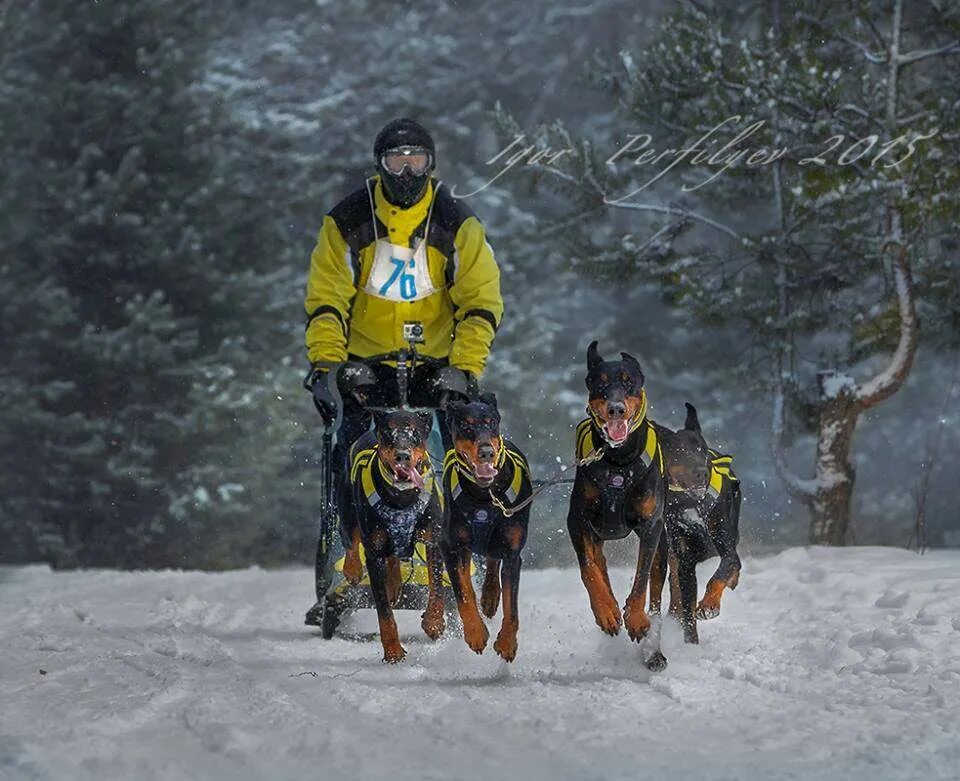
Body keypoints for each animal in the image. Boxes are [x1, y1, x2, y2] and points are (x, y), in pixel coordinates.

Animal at [338, 412, 446, 660]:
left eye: (415, 433)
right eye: (389, 433)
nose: (402, 455)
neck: (401, 498)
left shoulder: (433, 539)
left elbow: (436, 587)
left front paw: (434, 623)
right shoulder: (374, 552)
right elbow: (384, 611)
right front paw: (393, 651)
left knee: (394, 556)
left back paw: (395, 584)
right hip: (347, 509)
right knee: (351, 540)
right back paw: (353, 570)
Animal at [442, 396, 532, 660]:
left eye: (491, 422)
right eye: (466, 424)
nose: (486, 451)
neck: (485, 495)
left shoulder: (513, 553)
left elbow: (512, 607)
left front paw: (507, 643)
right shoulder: (450, 547)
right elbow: (462, 592)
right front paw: (475, 633)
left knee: (492, 560)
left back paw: (490, 597)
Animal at [564, 342, 668, 672]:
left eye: (628, 382)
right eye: (600, 384)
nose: (616, 408)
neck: (618, 461)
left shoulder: (650, 526)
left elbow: (641, 579)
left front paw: (635, 620)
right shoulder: (578, 520)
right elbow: (589, 570)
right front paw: (607, 611)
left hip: (663, 546)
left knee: (656, 592)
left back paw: (653, 650)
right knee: (599, 565)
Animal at [652, 400, 744, 644]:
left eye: (702, 451)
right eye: (681, 453)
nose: (702, 473)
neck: (692, 503)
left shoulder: (726, 544)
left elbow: (721, 573)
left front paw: (709, 606)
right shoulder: (685, 561)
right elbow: (686, 603)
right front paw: (690, 643)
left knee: (735, 564)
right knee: (674, 584)